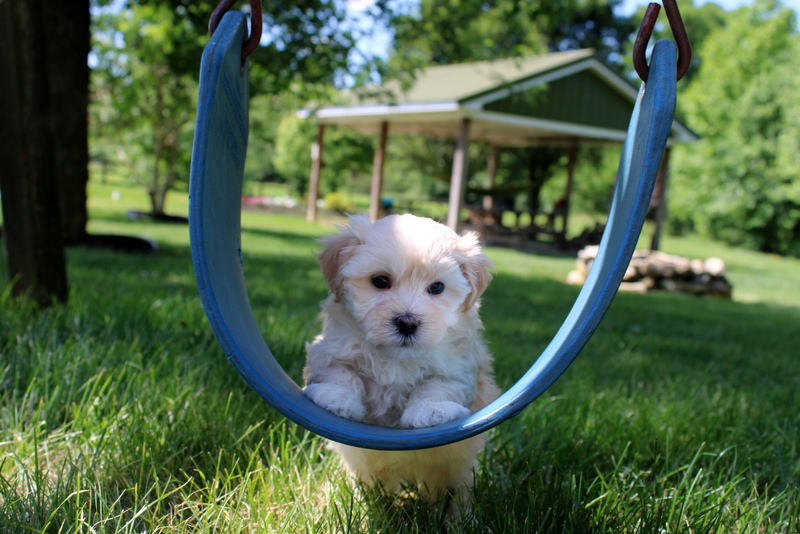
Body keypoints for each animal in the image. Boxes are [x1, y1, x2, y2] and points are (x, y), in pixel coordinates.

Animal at [302, 215, 496, 516]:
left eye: (437, 287)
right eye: (380, 281)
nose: (407, 322)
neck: (395, 357)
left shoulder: (458, 367)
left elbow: (436, 386)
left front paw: (432, 412)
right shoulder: (332, 349)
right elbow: (342, 373)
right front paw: (336, 399)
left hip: (458, 467)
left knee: (458, 487)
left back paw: (458, 517)